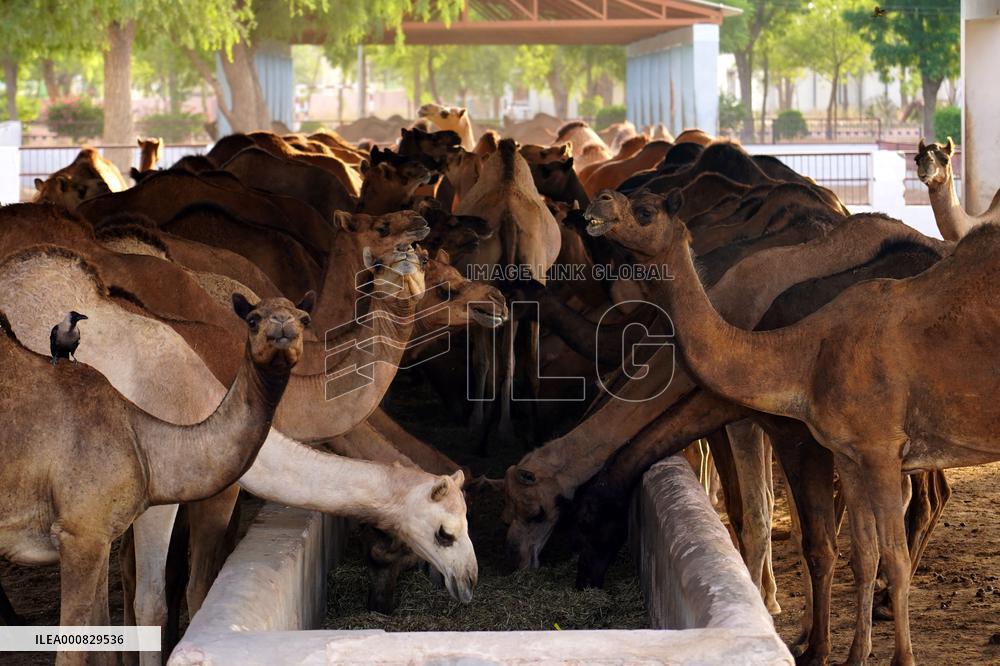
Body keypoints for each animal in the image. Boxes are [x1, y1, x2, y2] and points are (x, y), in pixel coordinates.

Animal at [0, 285, 309, 665]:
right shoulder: (80, 532)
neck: (139, 438)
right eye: (252, 320)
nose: (282, 329)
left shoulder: (99, 532)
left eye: (304, 319)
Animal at [587, 185, 998, 665]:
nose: (599, 201)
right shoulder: (849, 453)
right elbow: (864, 554)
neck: (806, 353)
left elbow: (890, 558)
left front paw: (898, 658)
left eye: (645, 210)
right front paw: (853, 655)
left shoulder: (878, 449)